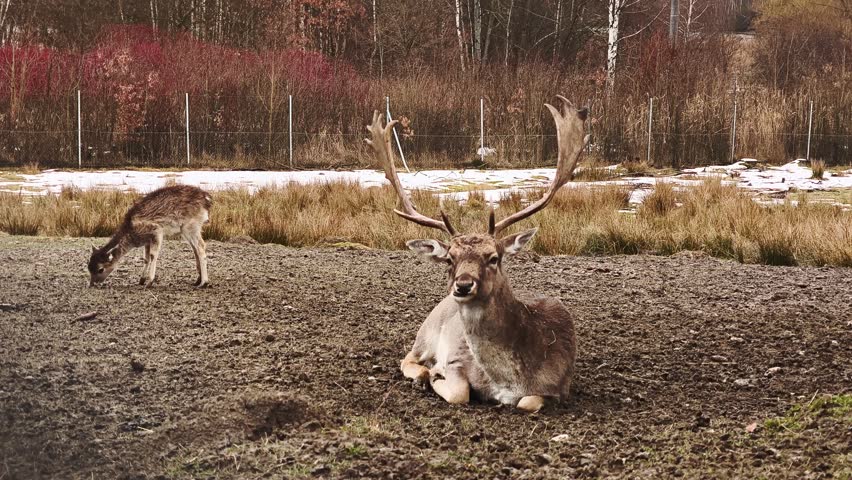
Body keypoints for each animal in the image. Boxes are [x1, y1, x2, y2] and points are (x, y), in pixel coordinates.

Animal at [365, 96, 588, 413]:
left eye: (494, 257)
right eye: (450, 258)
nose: (463, 285)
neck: (512, 380)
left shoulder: (560, 386)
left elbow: (528, 402)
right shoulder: (457, 361)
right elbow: (460, 392)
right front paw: (434, 375)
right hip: (426, 331)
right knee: (407, 357)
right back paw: (423, 373)